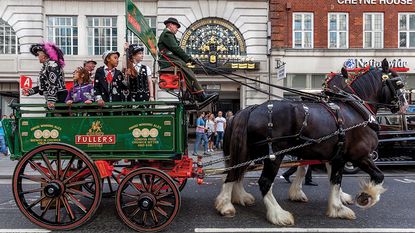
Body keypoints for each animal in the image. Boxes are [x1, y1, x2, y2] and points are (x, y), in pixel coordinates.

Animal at [216, 63, 408, 226]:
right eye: (398, 83)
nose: (405, 105)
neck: (355, 110)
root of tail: (252, 108)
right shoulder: (358, 155)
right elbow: (375, 176)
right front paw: (364, 197)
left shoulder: (333, 155)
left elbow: (330, 178)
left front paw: (336, 202)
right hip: (274, 154)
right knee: (262, 181)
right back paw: (277, 214)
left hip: (249, 150)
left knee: (235, 172)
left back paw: (231, 201)